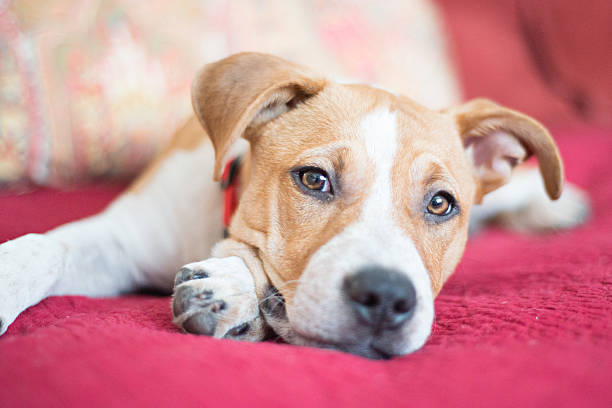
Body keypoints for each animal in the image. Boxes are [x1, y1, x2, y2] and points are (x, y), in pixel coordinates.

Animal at [0, 52, 588, 358]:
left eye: (441, 204)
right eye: (313, 180)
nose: (386, 297)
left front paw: (234, 291)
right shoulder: (120, 239)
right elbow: (43, 250)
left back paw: (552, 204)